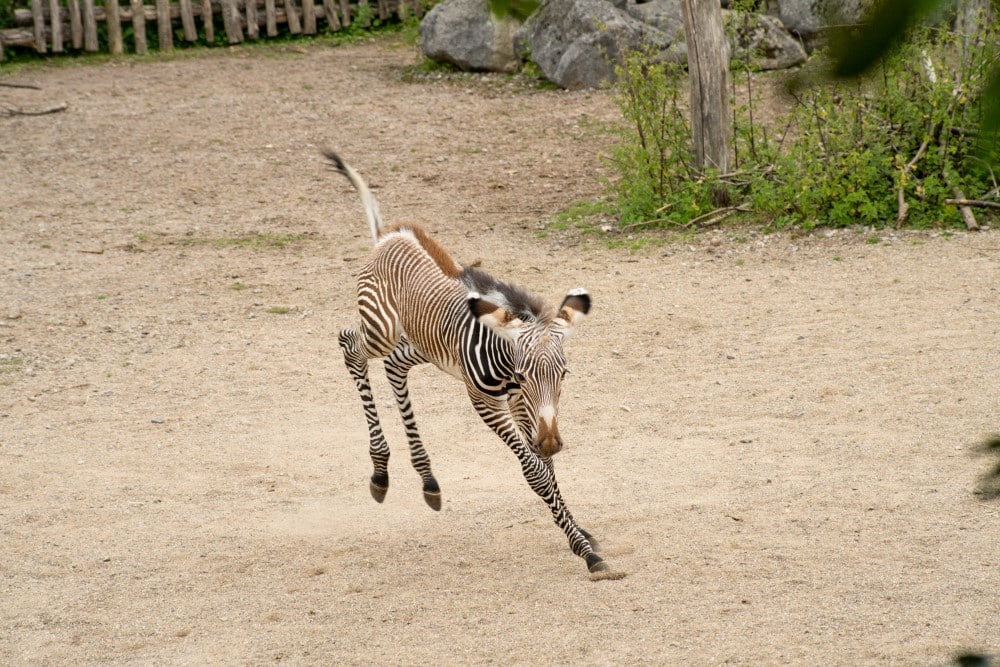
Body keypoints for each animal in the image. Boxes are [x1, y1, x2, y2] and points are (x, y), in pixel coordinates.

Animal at [326, 150, 608, 576]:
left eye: (564, 374)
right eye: (523, 374)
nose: (551, 441)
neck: (505, 362)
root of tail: (390, 234)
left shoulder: (523, 404)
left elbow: (546, 466)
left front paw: (578, 530)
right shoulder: (488, 402)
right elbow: (535, 471)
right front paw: (585, 550)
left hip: (423, 342)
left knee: (394, 366)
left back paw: (428, 480)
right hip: (381, 328)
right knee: (350, 346)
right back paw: (380, 472)